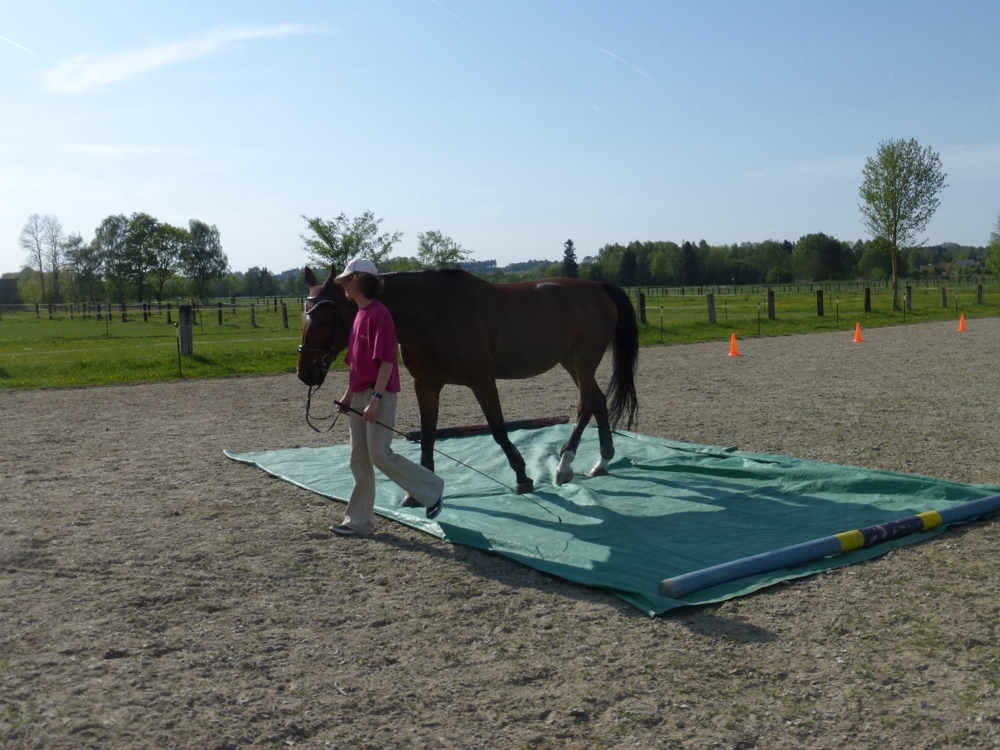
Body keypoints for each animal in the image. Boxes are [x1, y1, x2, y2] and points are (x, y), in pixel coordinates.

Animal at [298, 268, 640, 496]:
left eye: (325, 318)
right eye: (304, 317)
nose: (306, 373)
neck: (433, 313)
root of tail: (597, 287)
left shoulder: (482, 382)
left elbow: (499, 430)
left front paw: (522, 476)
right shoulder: (426, 384)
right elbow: (428, 436)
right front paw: (420, 492)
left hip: (583, 360)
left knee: (585, 407)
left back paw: (564, 466)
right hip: (570, 361)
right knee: (597, 401)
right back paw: (602, 462)